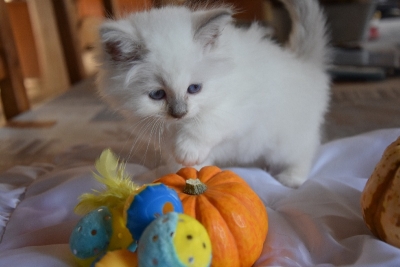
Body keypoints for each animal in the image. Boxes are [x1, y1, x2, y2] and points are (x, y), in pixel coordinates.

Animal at [95, 0, 330, 188]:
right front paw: (185, 178)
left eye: (194, 88)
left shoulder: (236, 108)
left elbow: (204, 124)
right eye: (157, 94)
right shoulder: (163, 136)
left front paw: (188, 150)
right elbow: (187, 164)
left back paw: (291, 178)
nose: (179, 113)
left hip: (286, 140)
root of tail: (304, 63)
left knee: (305, 152)